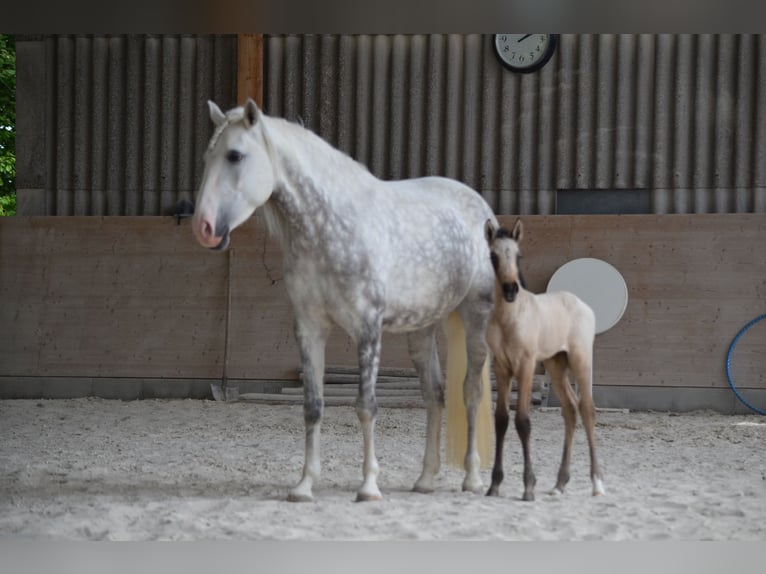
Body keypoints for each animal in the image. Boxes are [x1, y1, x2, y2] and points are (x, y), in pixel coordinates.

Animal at [192, 100, 498, 504]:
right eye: (207, 157)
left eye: (235, 155)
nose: (203, 228)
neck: (329, 224)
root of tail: (480, 207)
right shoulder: (309, 329)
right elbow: (313, 407)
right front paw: (304, 486)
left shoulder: (367, 328)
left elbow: (366, 406)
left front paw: (368, 487)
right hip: (422, 328)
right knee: (434, 395)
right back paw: (425, 480)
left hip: (475, 316)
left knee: (472, 393)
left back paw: (473, 479)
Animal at [486, 220, 608, 504]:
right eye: (493, 256)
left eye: (518, 255)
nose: (510, 290)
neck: (510, 317)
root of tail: (582, 304)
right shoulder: (502, 368)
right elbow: (501, 420)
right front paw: (494, 485)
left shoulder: (526, 365)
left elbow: (523, 421)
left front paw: (529, 487)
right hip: (556, 365)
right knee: (570, 410)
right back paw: (559, 484)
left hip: (580, 360)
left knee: (587, 409)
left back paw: (597, 484)